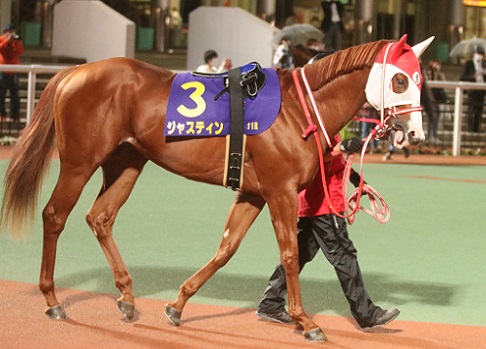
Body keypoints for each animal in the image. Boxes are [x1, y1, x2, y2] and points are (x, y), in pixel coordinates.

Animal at [0, 35, 432, 340]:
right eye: (399, 80)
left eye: (418, 80)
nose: (415, 133)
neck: (299, 110)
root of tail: (74, 73)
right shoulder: (280, 191)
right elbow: (290, 254)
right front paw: (306, 321)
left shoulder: (254, 192)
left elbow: (227, 247)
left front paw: (177, 304)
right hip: (80, 162)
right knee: (55, 215)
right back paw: (53, 299)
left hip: (127, 162)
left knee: (100, 217)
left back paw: (126, 297)